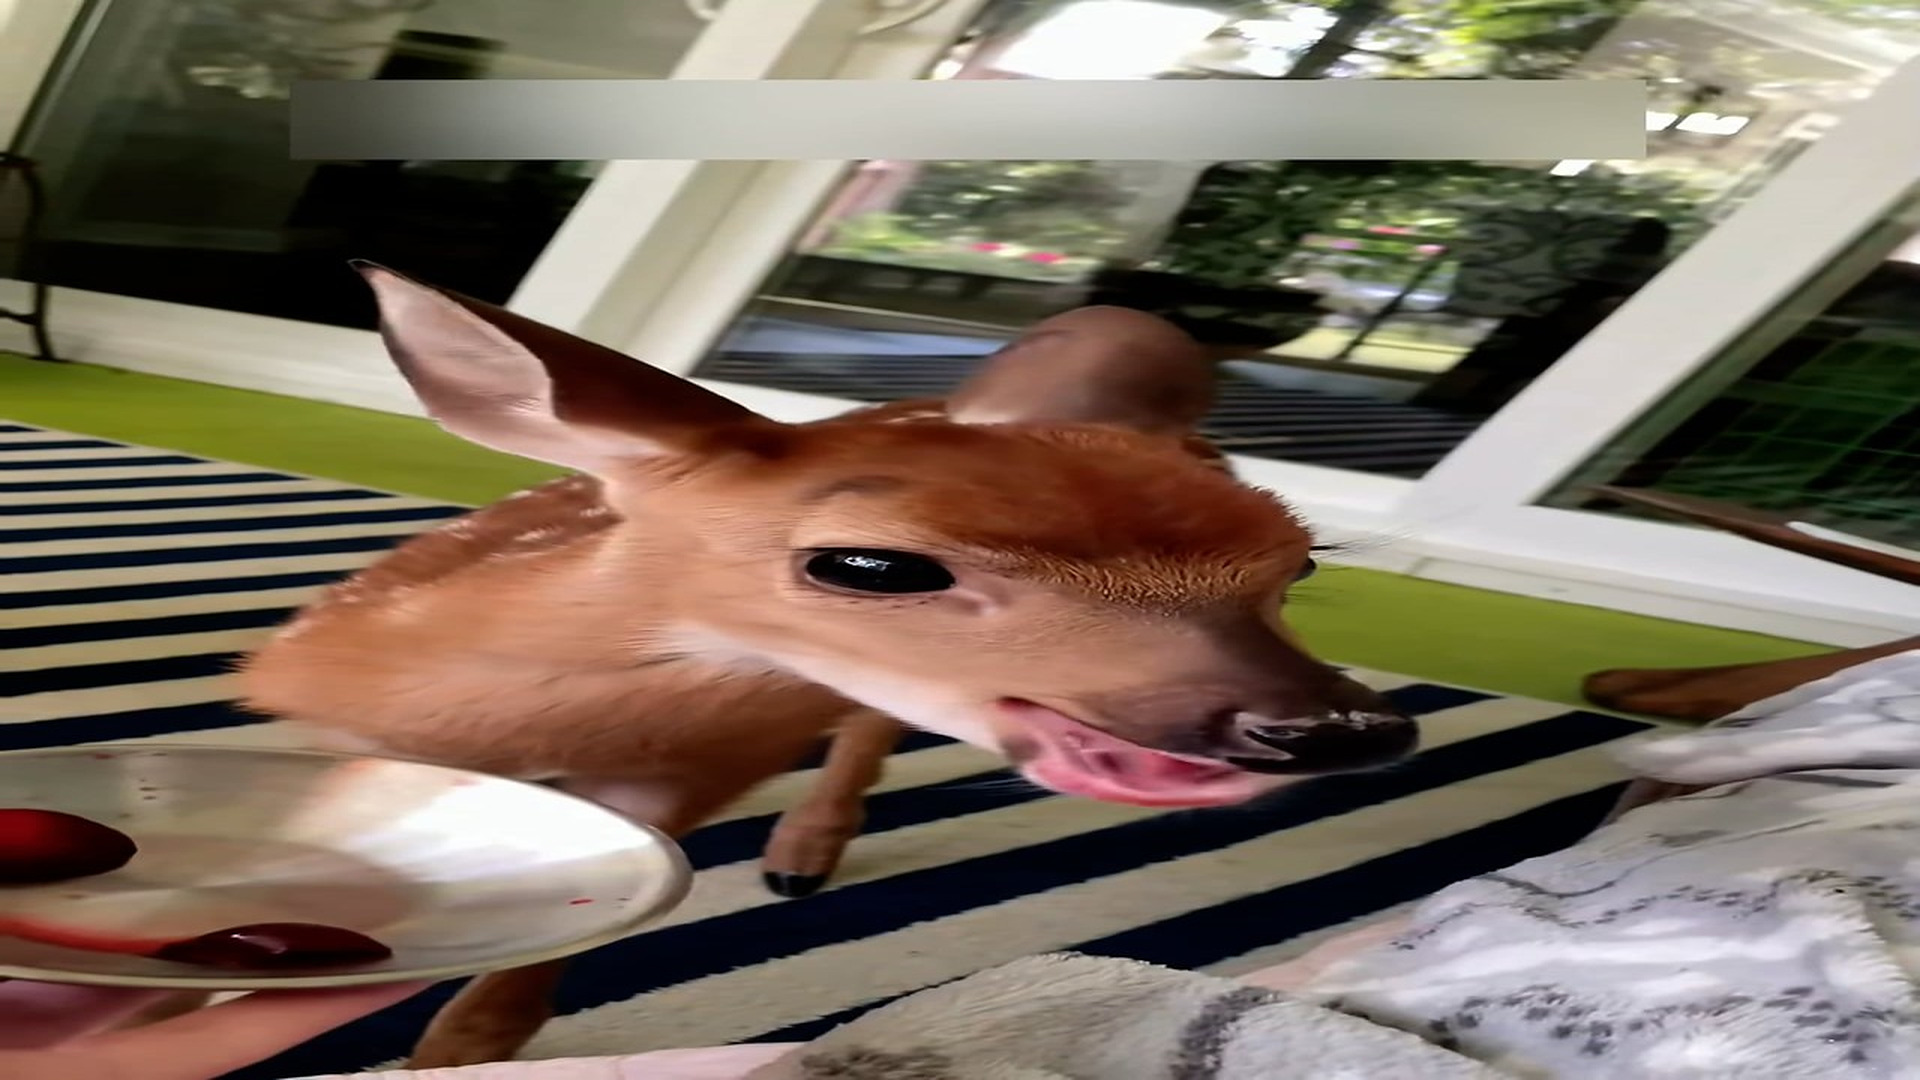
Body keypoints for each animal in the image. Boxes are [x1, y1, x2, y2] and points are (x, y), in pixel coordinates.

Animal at [224, 264, 1420, 1068]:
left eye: (1299, 564)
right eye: (869, 563)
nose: (1343, 725)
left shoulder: (698, 766)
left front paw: (461, 1043)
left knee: (866, 732)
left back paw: (804, 853)